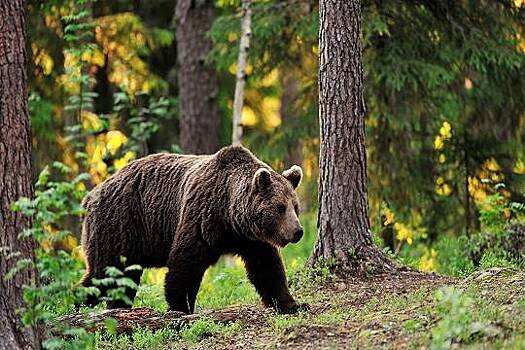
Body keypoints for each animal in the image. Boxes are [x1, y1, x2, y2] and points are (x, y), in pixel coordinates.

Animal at [80, 145, 304, 314]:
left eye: (295, 207)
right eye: (280, 208)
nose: (298, 231)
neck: (229, 214)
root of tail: (91, 195)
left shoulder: (250, 239)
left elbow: (267, 268)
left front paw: (291, 304)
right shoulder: (201, 218)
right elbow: (185, 265)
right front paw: (181, 306)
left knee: (121, 280)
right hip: (119, 225)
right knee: (104, 274)